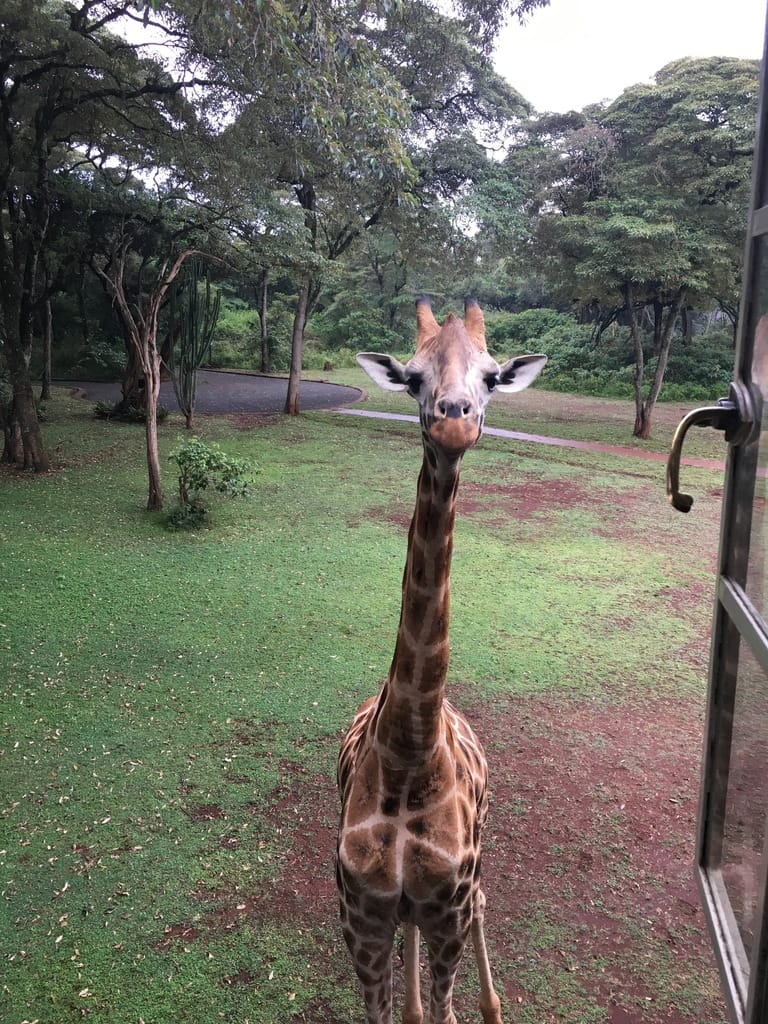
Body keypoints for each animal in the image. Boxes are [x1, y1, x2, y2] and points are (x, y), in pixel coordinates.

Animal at [335, 299, 548, 1024]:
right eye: (413, 376)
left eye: (491, 376)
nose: (454, 419)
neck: (410, 750)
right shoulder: (362, 919)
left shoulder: (447, 911)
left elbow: (446, 1005)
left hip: (468, 879)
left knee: (483, 902)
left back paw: (495, 1004)